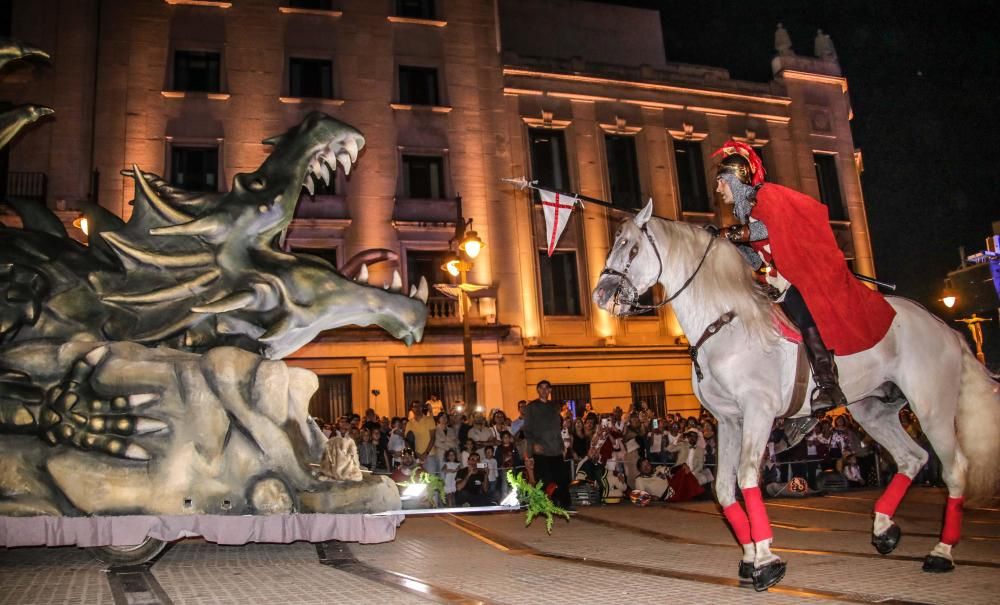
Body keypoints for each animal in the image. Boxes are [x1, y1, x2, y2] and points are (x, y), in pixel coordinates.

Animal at [592, 202, 1000, 588]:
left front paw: (766, 561)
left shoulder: (758, 410)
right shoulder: (728, 420)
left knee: (954, 467)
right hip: (872, 410)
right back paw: (885, 529)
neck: (724, 322)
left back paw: (941, 552)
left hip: (931, 407)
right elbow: (724, 488)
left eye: (631, 247)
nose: (600, 294)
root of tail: (944, 328)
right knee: (912, 458)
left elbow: (747, 476)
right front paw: (751, 556)